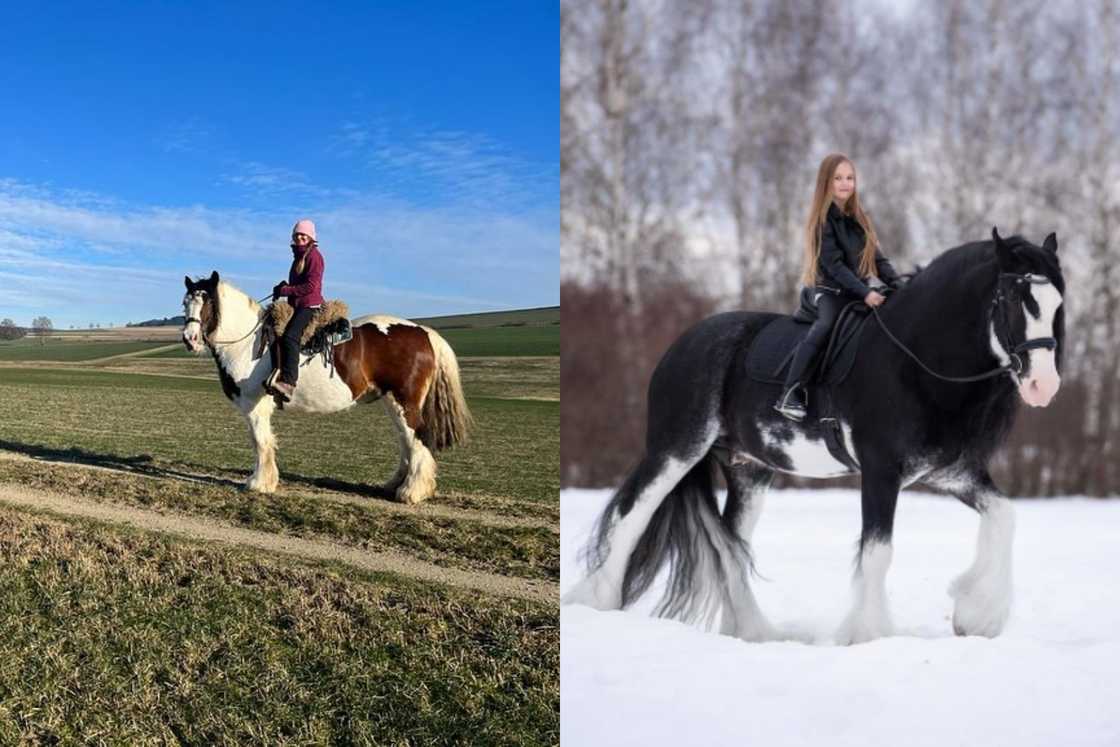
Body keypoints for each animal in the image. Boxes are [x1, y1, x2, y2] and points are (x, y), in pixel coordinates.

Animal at [180, 271, 471, 504]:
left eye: (206, 301)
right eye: (185, 303)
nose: (189, 339)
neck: (248, 344)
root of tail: (424, 332)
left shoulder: (255, 405)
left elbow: (260, 441)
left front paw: (258, 483)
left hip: (405, 401)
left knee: (416, 439)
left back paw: (412, 492)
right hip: (392, 402)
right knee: (406, 441)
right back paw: (394, 486)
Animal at [563, 229, 1065, 644]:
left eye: (1058, 304)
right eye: (1011, 299)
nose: (1044, 385)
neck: (913, 361)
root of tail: (685, 344)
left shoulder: (947, 472)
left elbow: (1004, 516)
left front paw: (976, 614)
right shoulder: (880, 472)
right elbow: (877, 552)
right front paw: (866, 635)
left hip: (749, 473)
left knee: (729, 546)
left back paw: (751, 632)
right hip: (676, 449)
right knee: (633, 515)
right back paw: (598, 602)